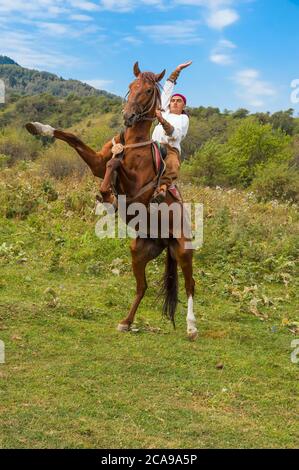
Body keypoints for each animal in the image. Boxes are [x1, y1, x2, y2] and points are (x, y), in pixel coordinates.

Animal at [26, 63, 199, 342]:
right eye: (131, 86)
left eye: (148, 90)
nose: (128, 116)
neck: (133, 144)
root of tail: (165, 240)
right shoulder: (97, 163)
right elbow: (74, 138)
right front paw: (39, 128)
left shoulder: (137, 191)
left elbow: (115, 163)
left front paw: (105, 194)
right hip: (139, 251)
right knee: (142, 287)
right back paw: (126, 322)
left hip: (184, 250)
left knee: (190, 284)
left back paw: (192, 327)